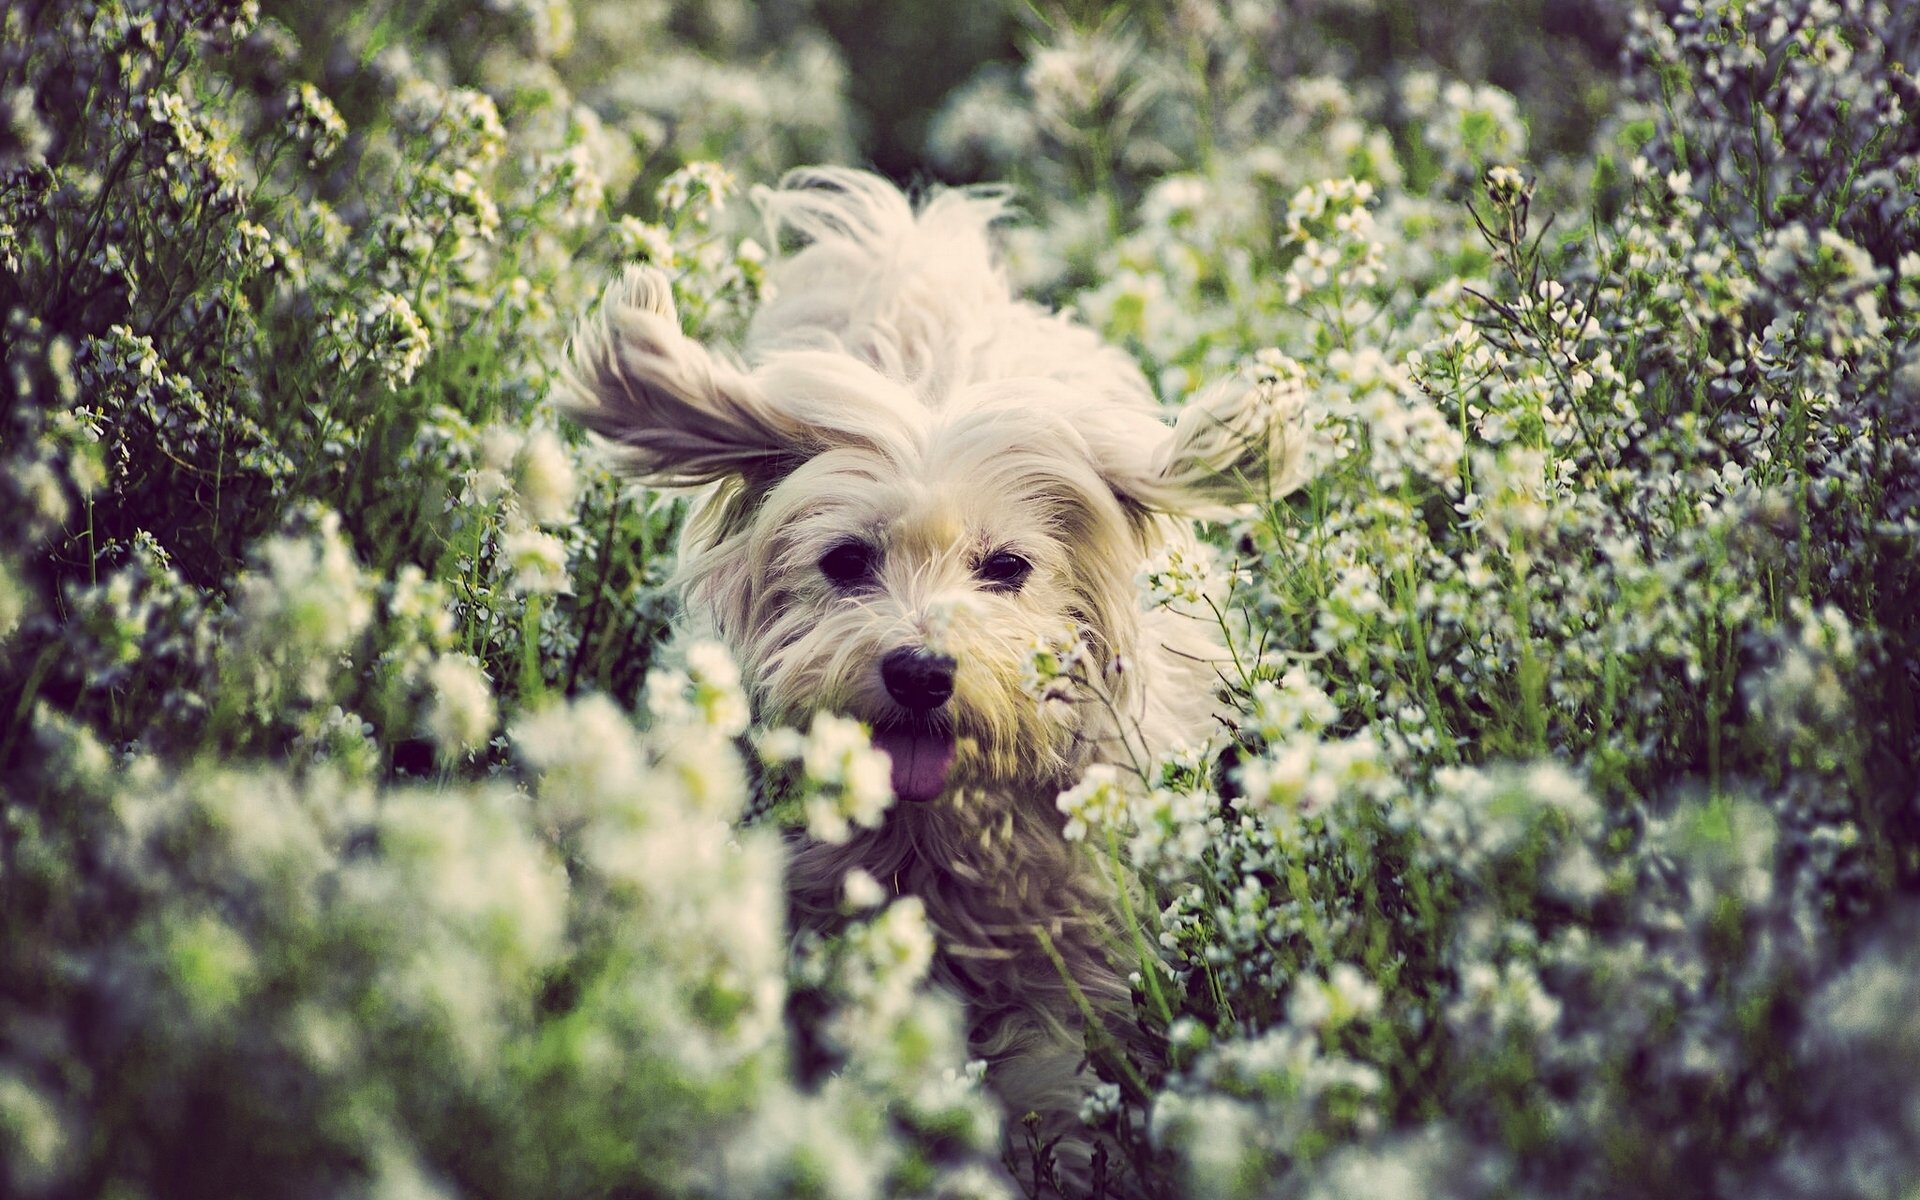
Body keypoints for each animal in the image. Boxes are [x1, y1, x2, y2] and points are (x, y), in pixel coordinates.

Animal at [560, 168, 1297, 1190]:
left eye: (1008, 567)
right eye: (844, 560)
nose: (919, 672)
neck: (931, 837)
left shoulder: (1072, 953)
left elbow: (1054, 1087)